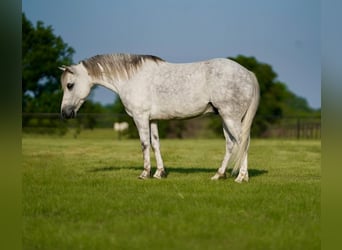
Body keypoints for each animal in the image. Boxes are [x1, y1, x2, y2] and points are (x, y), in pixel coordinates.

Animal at [60, 53, 260, 182]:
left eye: (70, 85)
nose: (65, 113)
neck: (131, 78)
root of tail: (248, 73)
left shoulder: (140, 117)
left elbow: (144, 144)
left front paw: (145, 174)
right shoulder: (152, 119)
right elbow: (155, 144)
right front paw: (159, 173)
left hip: (230, 118)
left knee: (243, 142)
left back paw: (242, 177)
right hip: (225, 119)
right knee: (231, 144)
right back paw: (219, 175)